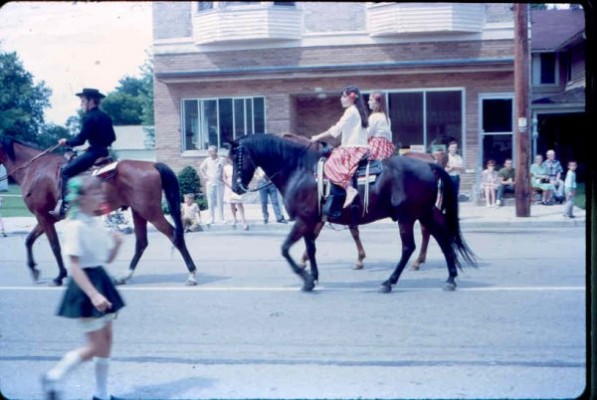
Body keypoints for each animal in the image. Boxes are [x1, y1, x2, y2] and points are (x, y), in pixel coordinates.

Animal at [0, 136, 198, 286]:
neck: (35, 169)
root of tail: (152, 166)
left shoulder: (43, 216)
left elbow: (54, 246)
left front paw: (59, 276)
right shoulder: (46, 218)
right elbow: (29, 240)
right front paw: (34, 270)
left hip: (150, 212)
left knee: (174, 235)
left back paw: (192, 275)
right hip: (139, 212)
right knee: (141, 243)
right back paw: (124, 276)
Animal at [228, 133, 474, 292]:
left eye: (236, 158)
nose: (235, 187)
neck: (300, 170)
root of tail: (429, 164)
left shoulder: (303, 220)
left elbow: (285, 248)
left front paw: (305, 277)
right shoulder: (310, 221)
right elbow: (311, 248)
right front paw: (313, 277)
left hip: (407, 217)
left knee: (409, 247)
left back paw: (389, 281)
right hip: (425, 213)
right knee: (442, 237)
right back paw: (450, 277)